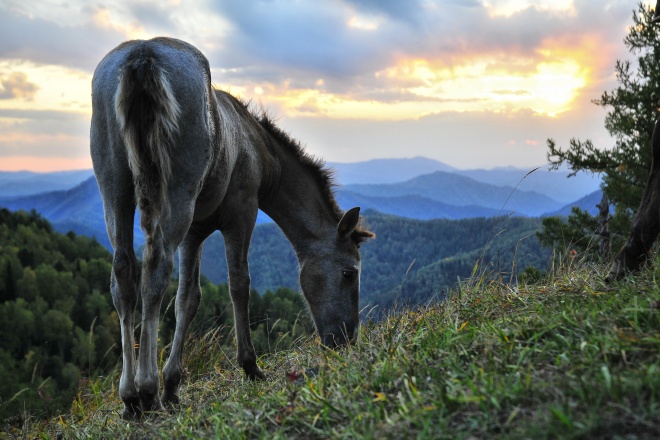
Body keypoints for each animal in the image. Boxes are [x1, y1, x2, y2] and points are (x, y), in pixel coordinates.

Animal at [90, 36, 374, 418]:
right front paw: (250, 366)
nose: (345, 338)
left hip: (116, 192)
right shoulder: (242, 214)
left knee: (124, 275)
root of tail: (142, 56)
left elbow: (187, 300)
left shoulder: (193, 233)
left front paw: (173, 384)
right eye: (349, 273)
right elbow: (239, 285)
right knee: (155, 268)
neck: (259, 149)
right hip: (175, 197)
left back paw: (130, 397)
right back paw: (146, 390)